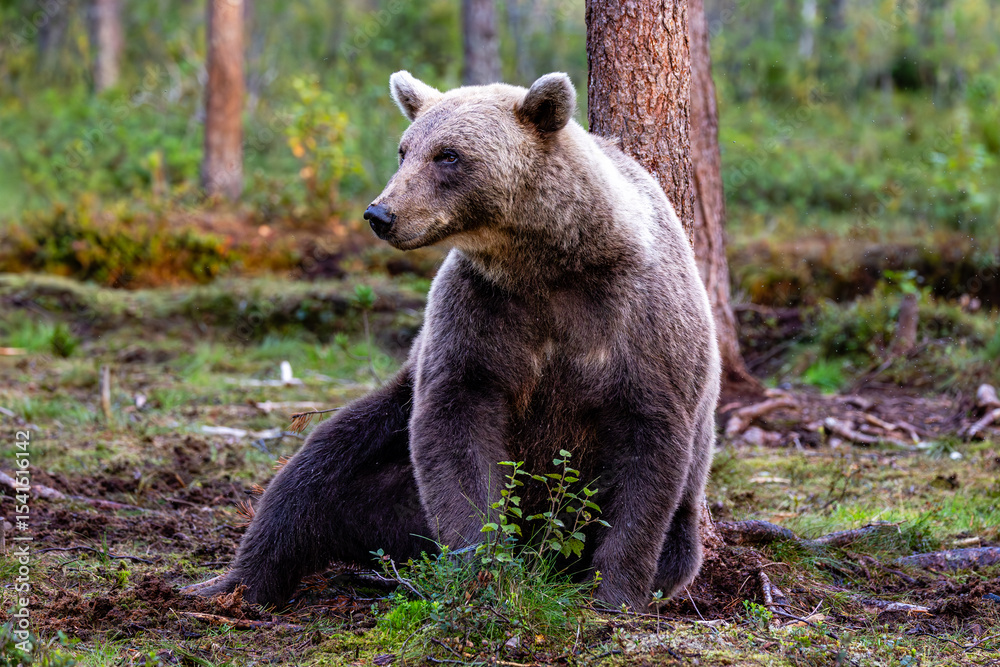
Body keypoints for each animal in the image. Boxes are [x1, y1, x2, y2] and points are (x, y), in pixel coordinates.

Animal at [184, 71, 720, 611]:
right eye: (404, 149)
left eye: (448, 155)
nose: (380, 213)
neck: (546, 262)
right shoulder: (481, 312)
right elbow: (456, 425)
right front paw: (483, 566)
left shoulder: (635, 321)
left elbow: (647, 449)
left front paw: (613, 592)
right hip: (387, 446)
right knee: (313, 474)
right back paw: (230, 583)